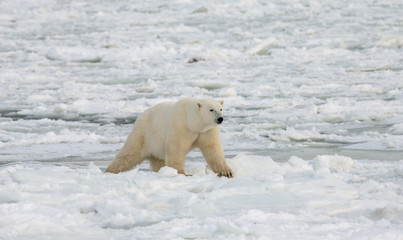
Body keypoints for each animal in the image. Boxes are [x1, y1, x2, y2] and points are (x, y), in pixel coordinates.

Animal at [105, 97, 234, 178]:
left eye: (221, 109)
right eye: (211, 109)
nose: (220, 119)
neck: (192, 122)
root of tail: (140, 116)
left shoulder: (207, 131)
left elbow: (213, 149)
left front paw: (226, 172)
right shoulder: (180, 126)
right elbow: (177, 149)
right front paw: (183, 173)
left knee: (158, 161)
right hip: (144, 133)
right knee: (129, 153)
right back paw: (110, 170)